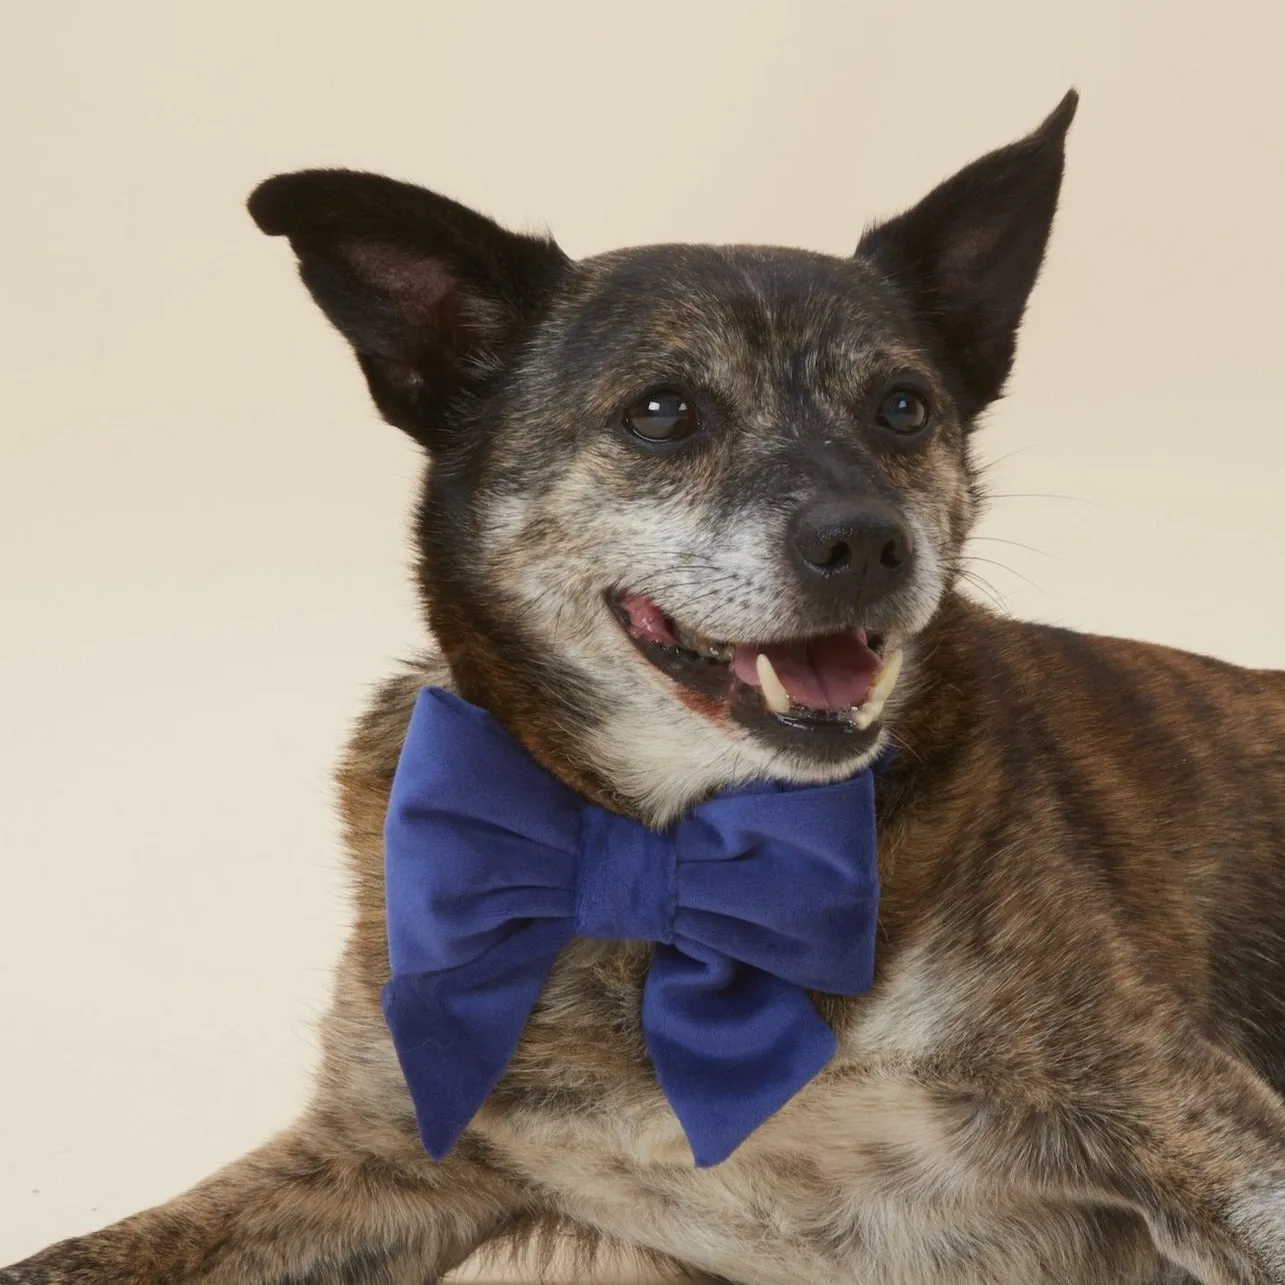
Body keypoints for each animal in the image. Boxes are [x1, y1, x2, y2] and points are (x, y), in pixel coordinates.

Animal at [7, 90, 1285, 1285]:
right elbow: (79, 1253)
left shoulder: (1183, 1118)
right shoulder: (376, 1150)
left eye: (903, 407)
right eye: (663, 411)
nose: (867, 542)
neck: (670, 846)